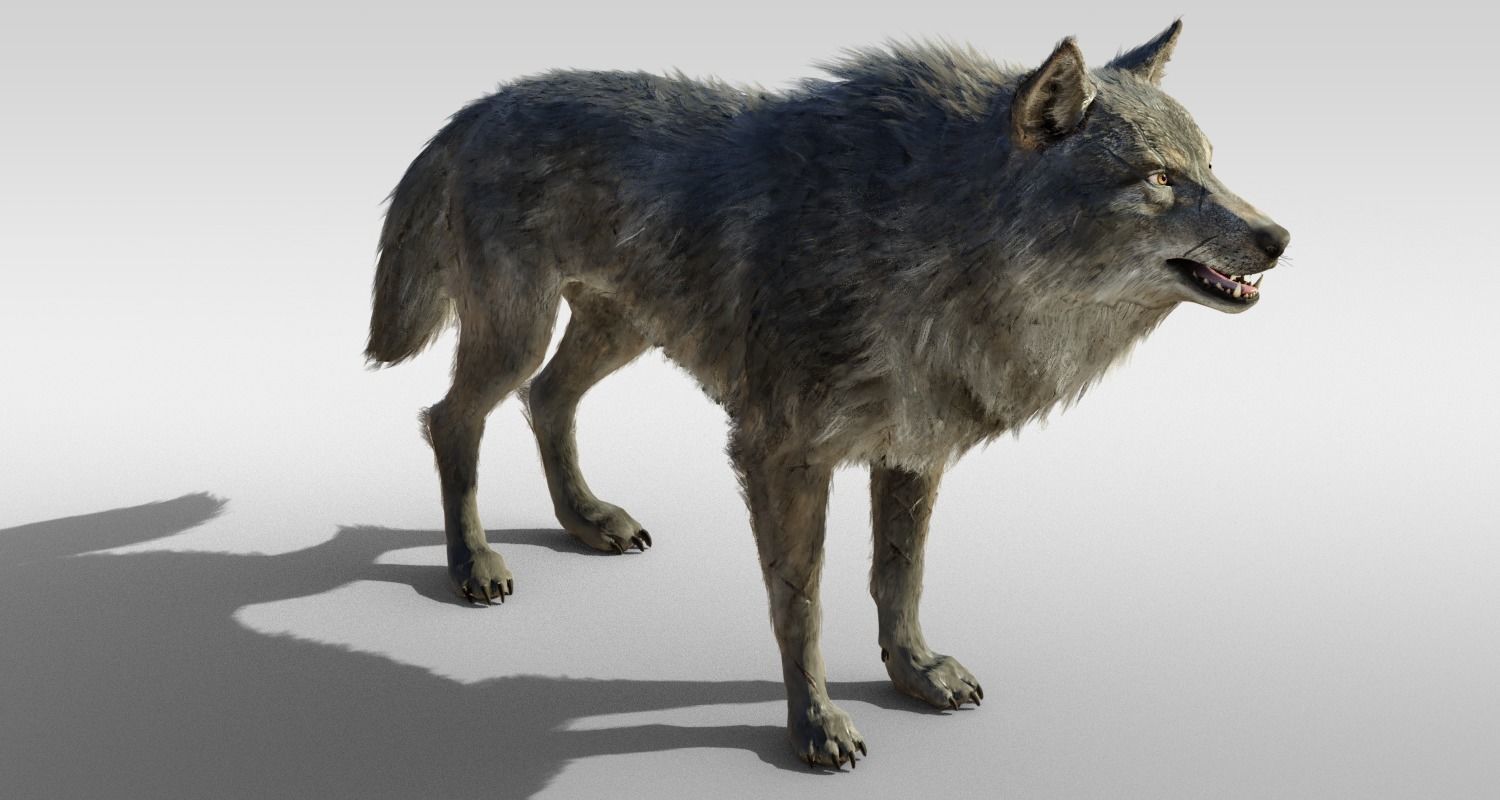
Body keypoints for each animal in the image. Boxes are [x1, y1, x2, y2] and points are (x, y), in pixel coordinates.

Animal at [364, 20, 1289, 768]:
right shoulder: (782, 454)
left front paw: (915, 673)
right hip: (518, 334)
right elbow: (800, 604)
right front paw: (815, 727)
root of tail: (478, 108)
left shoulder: (914, 448)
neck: (942, 239)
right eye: (1159, 178)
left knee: (549, 399)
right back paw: (473, 564)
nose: (1278, 237)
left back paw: (588, 520)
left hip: (619, 331)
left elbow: (899, 577)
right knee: (451, 418)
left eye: (1211, 166)